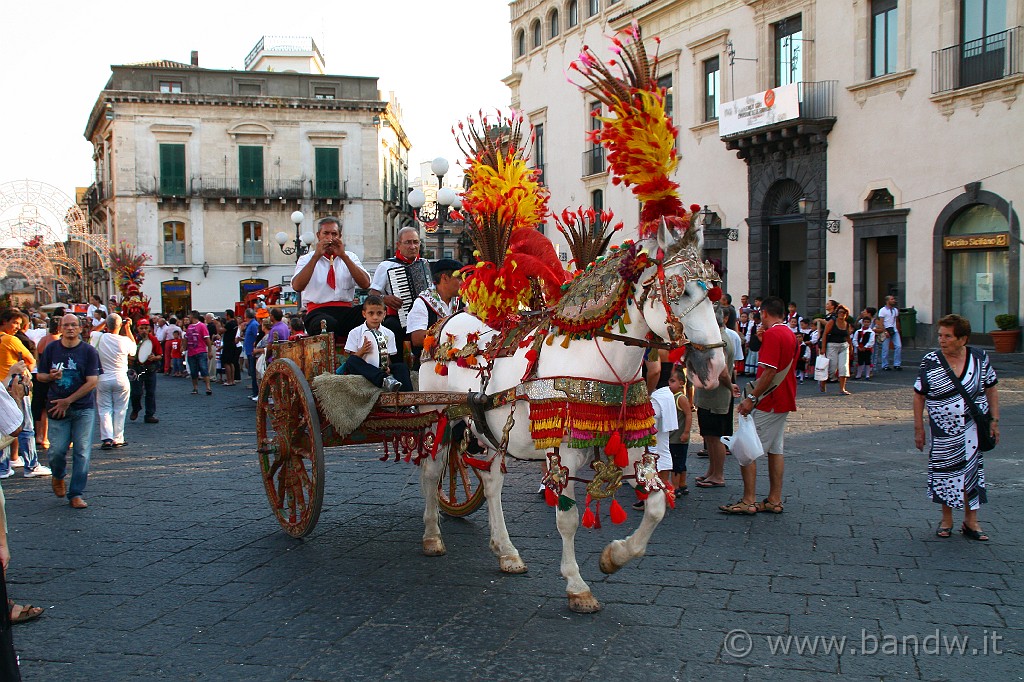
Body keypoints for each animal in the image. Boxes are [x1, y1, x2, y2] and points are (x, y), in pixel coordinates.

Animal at [413, 223, 720, 610]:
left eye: (712, 292)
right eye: (683, 291)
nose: (714, 367)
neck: (596, 360)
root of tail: (444, 324)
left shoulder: (631, 443)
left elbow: (655, 505)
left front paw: (614, 557)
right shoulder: (563, 450)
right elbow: (568, 519)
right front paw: (577, 585)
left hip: (493, 431)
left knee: (492, 483)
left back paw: (507, 552)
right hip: (437, 415)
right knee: (432, 471)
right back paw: (431, 537)